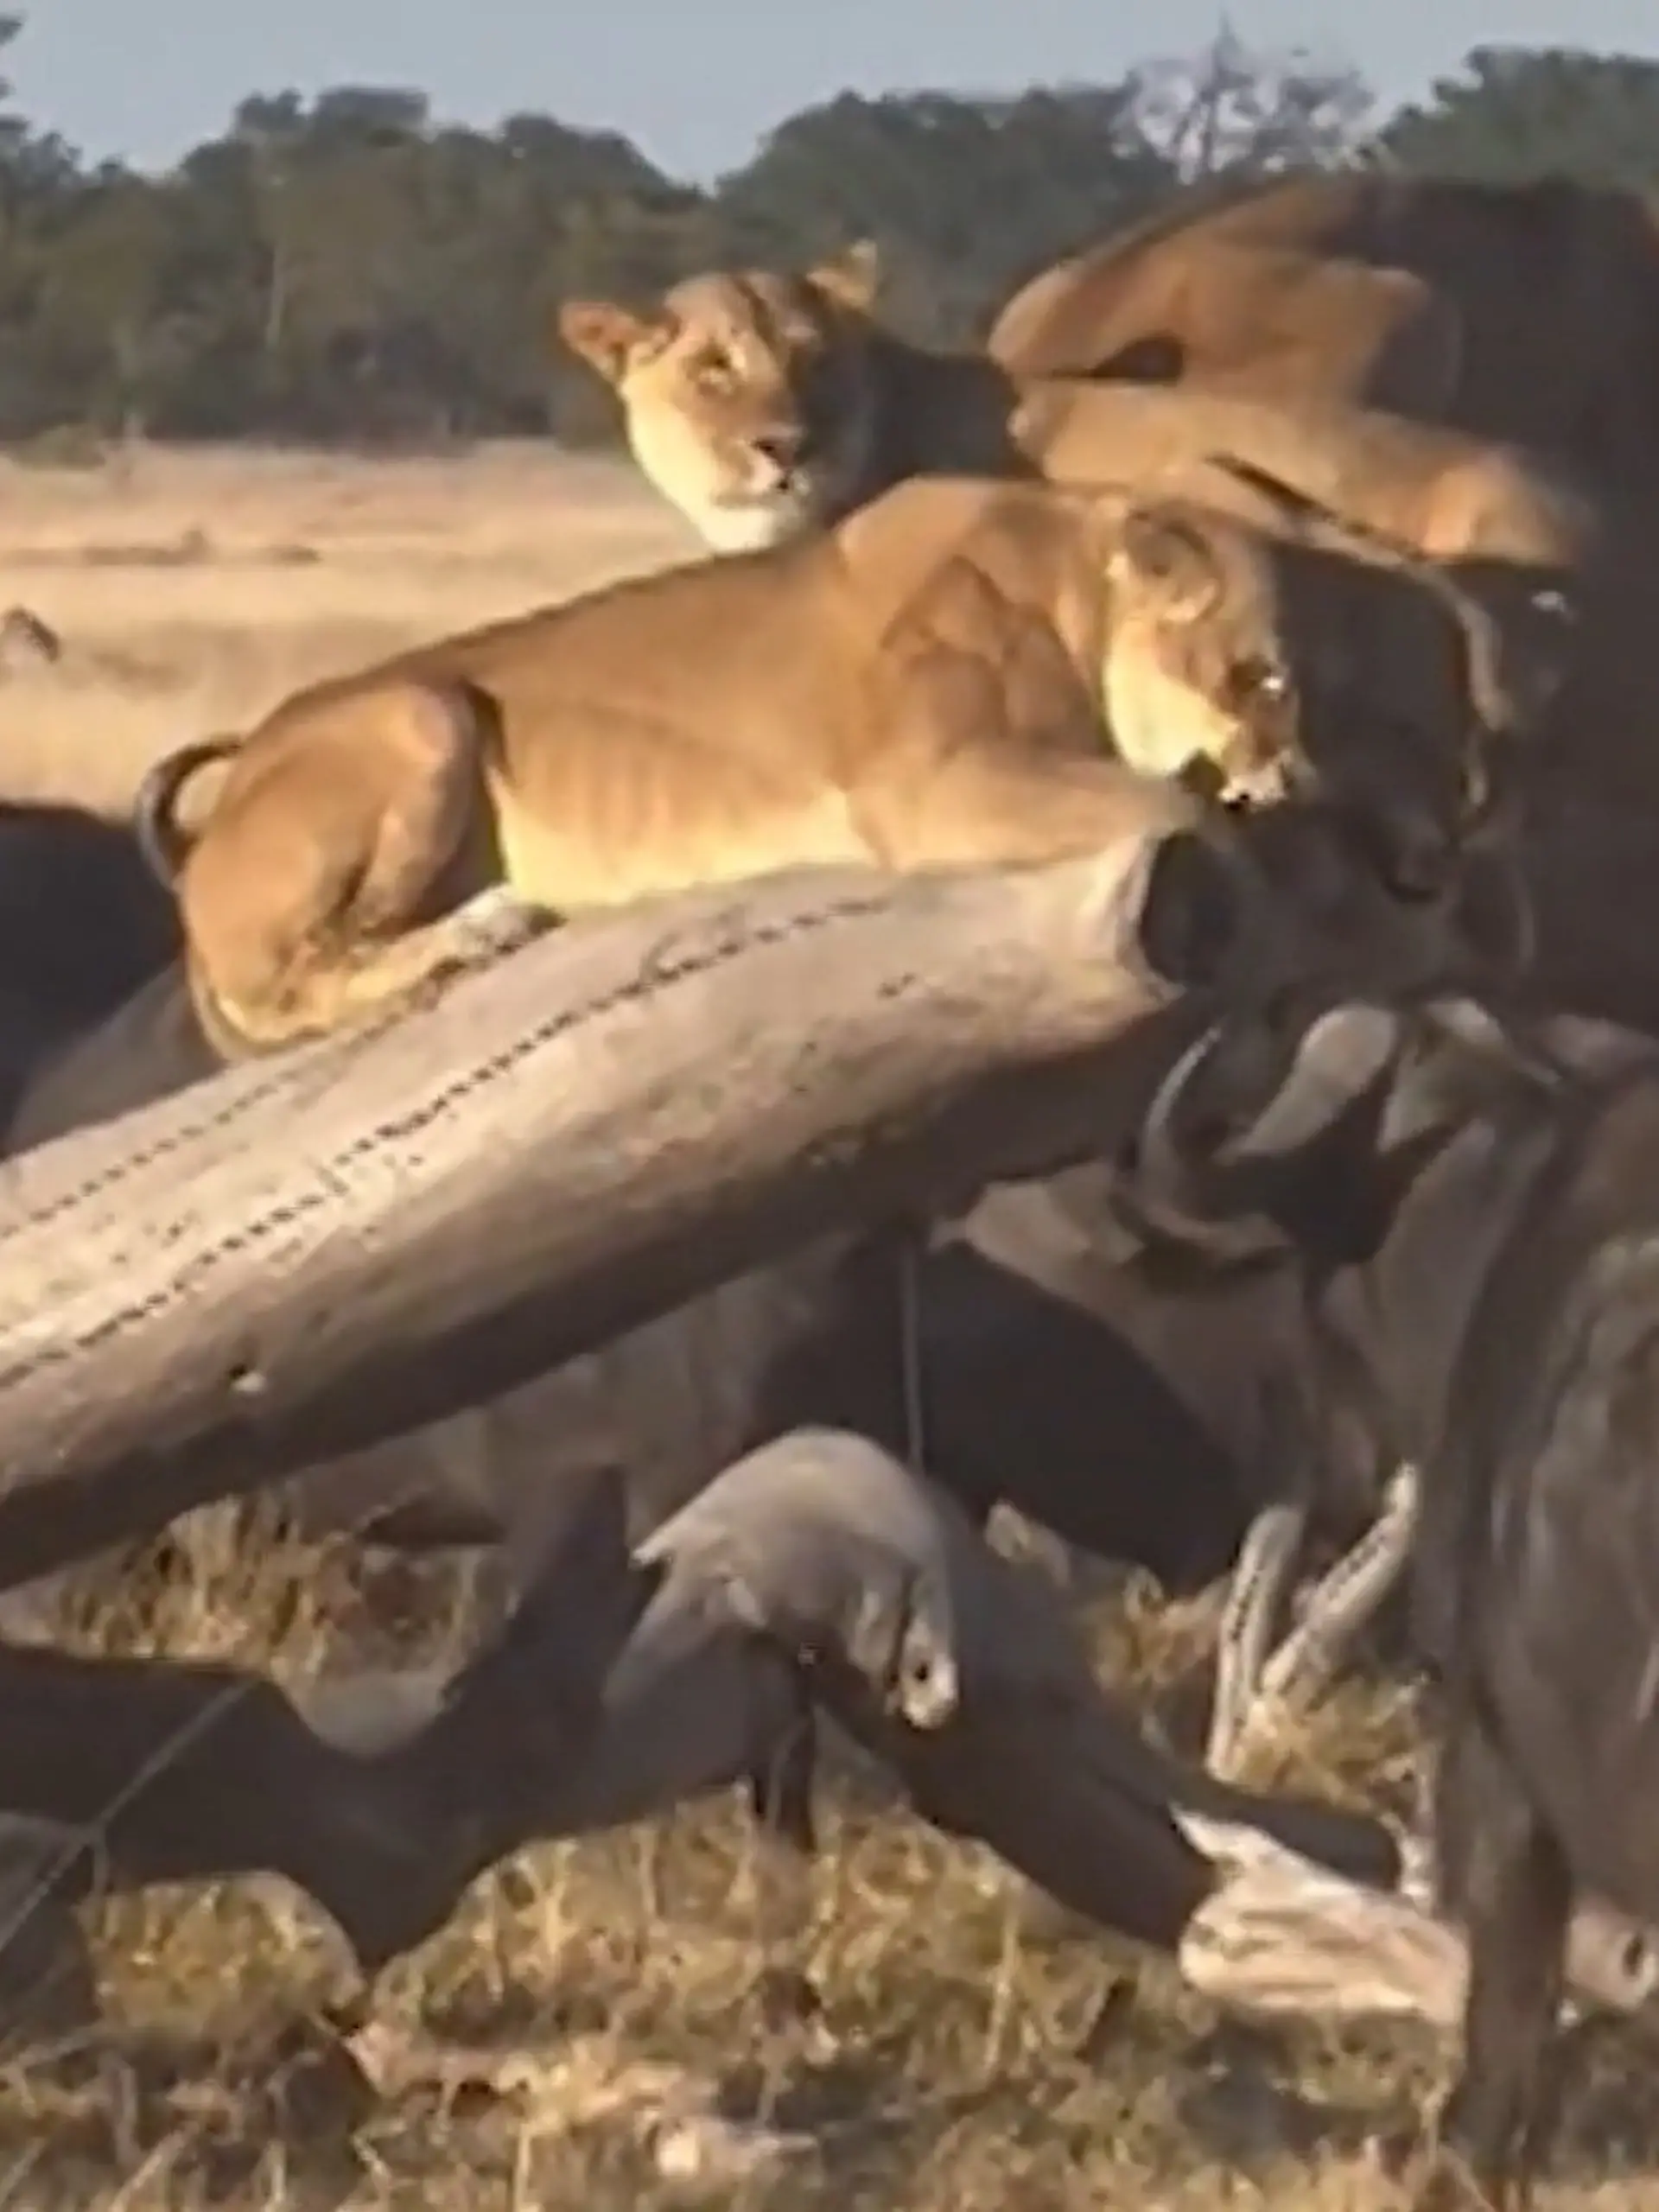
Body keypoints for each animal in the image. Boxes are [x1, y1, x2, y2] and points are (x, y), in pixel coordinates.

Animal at [132, 474, 1556, 1060]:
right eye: (1255, 674)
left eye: (1296, 685)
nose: (1283, 765)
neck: (1073, 587)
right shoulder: (932, 781)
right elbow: (1177, 811)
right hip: (425, 711)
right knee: (299, 985)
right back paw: (479, 929)